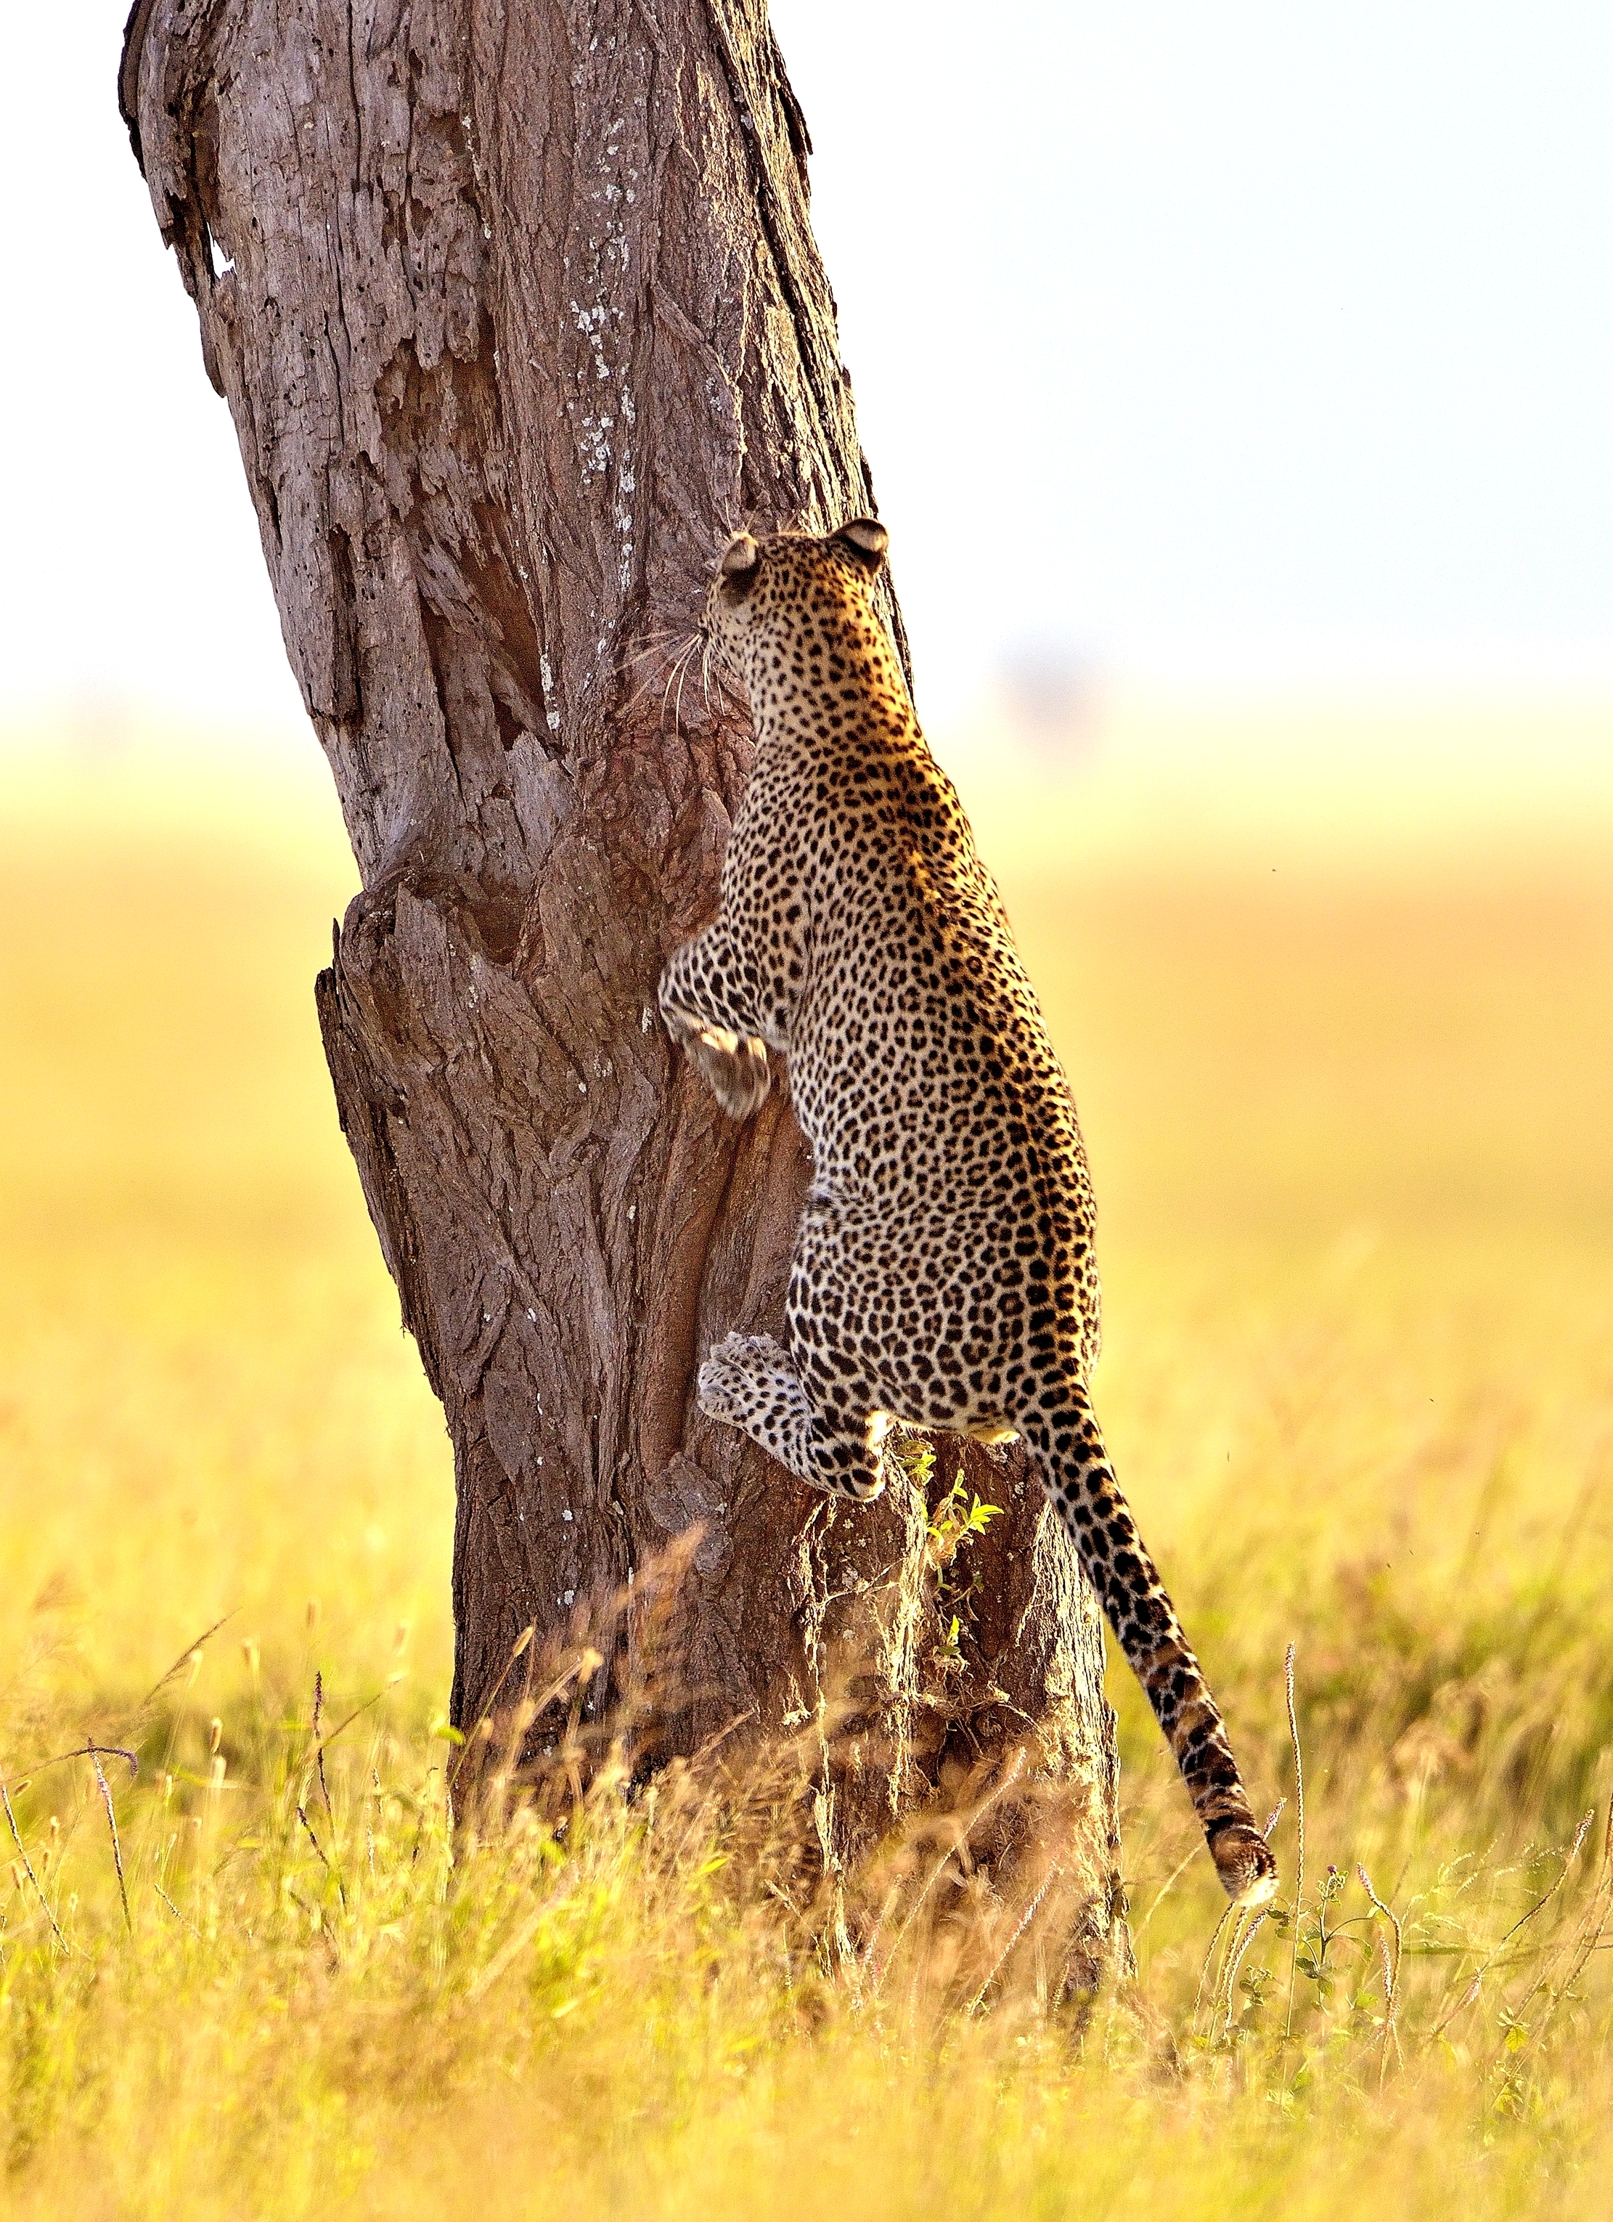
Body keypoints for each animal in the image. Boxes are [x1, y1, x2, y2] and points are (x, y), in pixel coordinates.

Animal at [657, 517, 1277, 1907]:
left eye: (718, 587)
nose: (684, 619)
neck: (852, 693)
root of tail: (1052, 1358)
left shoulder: (744, 951)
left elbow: (671, 977)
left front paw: (727, 1071)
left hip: (830, 1264)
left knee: (858, 1452)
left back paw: (730, 1373)